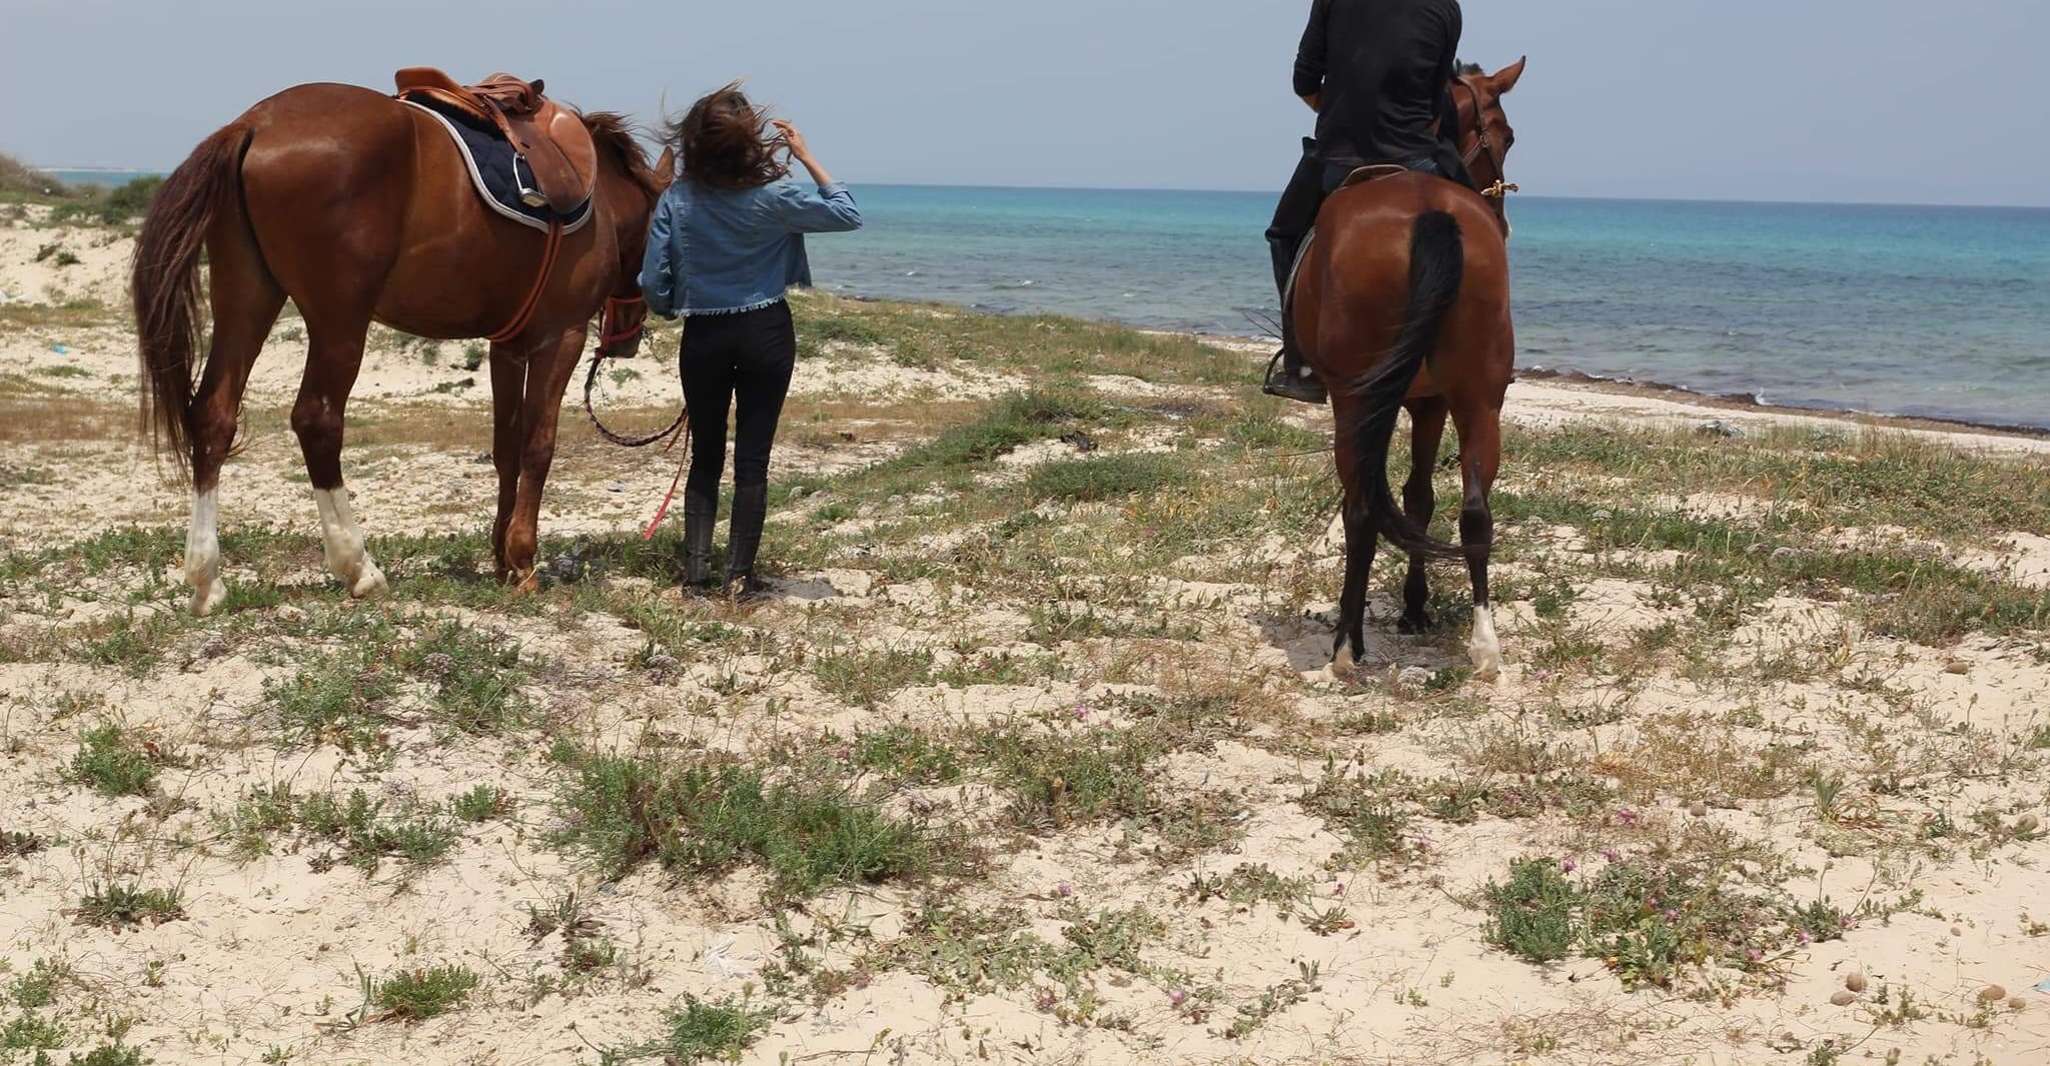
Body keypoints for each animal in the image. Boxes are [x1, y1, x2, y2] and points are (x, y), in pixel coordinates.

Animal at [131, 81, 673, 617]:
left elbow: (507, 448)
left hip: (247, 297)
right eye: (657, 232)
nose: (628, 337)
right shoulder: (560, 337)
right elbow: (539, 447)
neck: (600, 200)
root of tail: (255, 124)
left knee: (214, 415)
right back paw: (357, 566)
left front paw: (501, 558)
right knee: (317, 420)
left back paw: (207, 579)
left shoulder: (507, 347)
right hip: (338, 323)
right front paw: (522, 561)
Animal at [1292, 57, 1526, 679]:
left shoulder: (1404, 401)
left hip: (1356, 401)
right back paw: (1485, 647)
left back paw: (1346, 646)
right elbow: (1421, 498)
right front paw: (1416, 610)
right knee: (1475, 511)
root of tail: (1431, 211)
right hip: (1477, 398)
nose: (1502, 216)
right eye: (1507, 137)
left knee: (1361, 509)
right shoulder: (1431, 400)